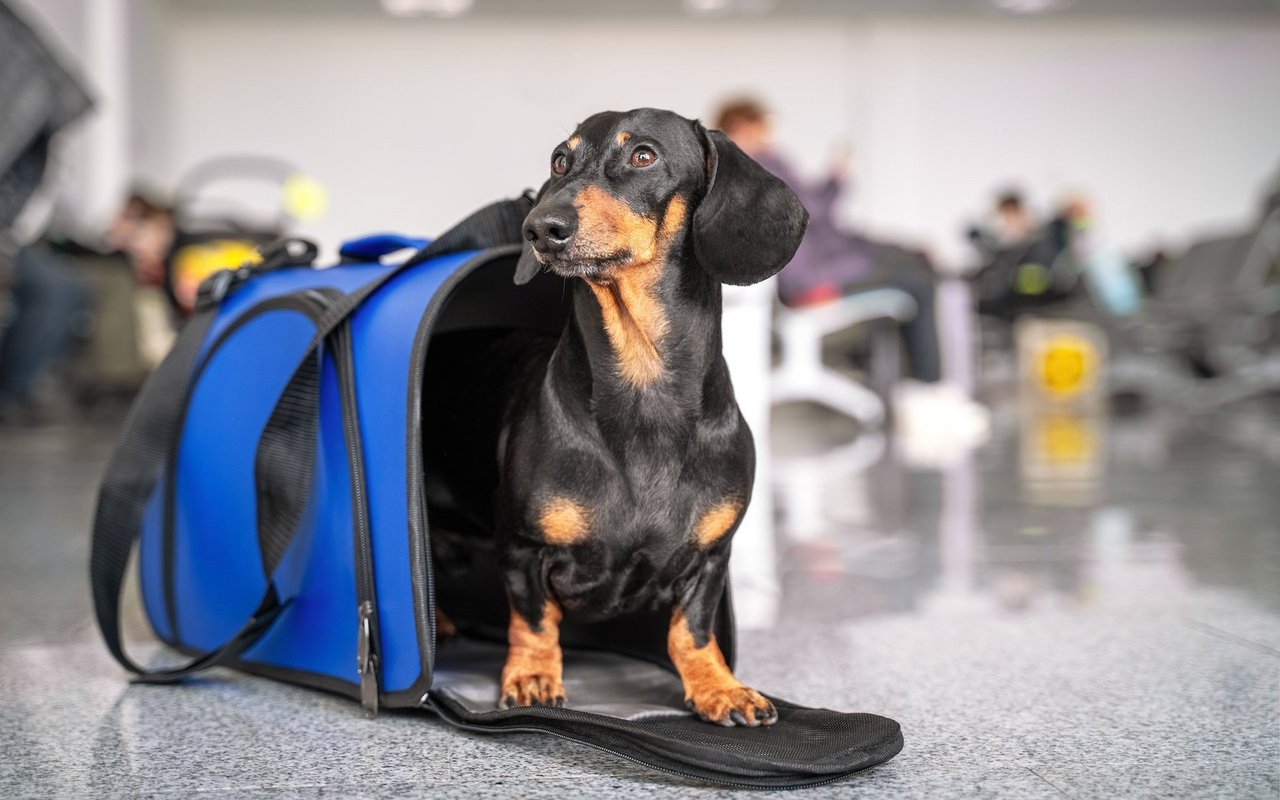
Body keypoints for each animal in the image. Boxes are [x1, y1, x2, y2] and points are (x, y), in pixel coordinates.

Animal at [483, 109, 803, 727]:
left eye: (643, 157)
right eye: (560, 159)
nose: (541, 228)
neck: (643, 382)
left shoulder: (710, 557)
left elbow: (691, 630)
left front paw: (718, 686)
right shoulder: (522, 547)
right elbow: (534, 620)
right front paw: (533, 676)